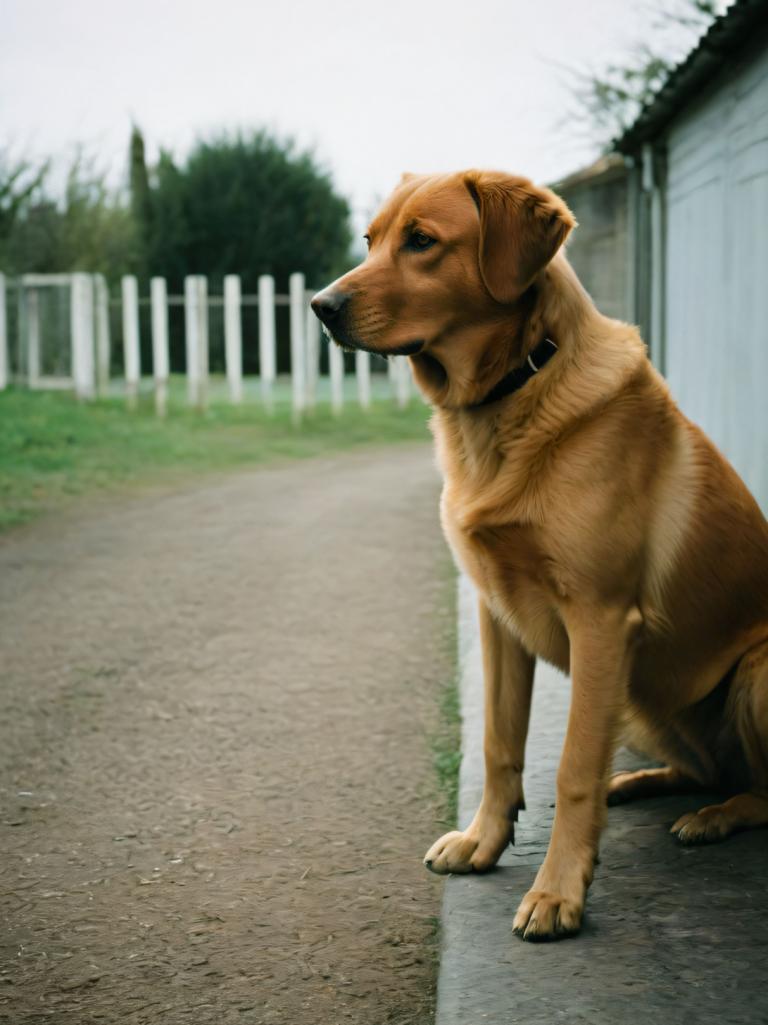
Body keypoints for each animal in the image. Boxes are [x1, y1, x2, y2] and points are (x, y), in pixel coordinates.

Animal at [309, 170, 766, 943]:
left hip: (752, 671)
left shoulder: (601, 621)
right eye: (370, 239)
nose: (320, 306)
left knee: (761, 791)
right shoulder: (498, 614)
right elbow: (500, 746)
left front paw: (558, 892)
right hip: (645, 700)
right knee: (709, 768)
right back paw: (642, 784)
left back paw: (713, 818)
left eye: (422, 241)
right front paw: (483, 842)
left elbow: (573, 768)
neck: (517, 385)